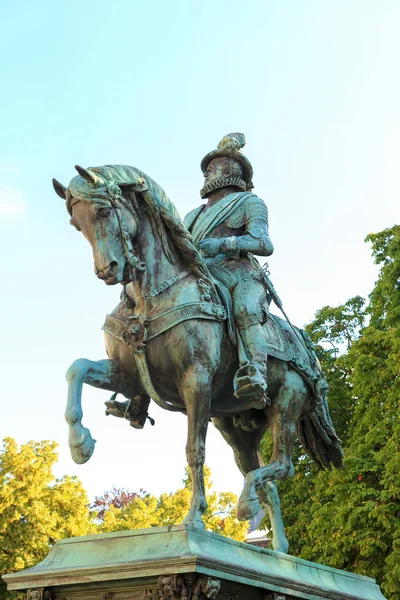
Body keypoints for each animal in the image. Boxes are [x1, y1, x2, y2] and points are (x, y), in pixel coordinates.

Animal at [51, 164, 342, 552]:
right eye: (75, 223)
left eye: (102, 211)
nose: (108, 270)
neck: (150, 297)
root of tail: (308, 349)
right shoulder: (124, 375)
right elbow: (77, 370)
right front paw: (80, 443)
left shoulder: (196, 379)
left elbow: (194, 451)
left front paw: (194, 518)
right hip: (236, 429)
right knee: (266, 480)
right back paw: (278, 547)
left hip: (287, 405)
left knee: (282, 466)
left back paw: (247, 503)